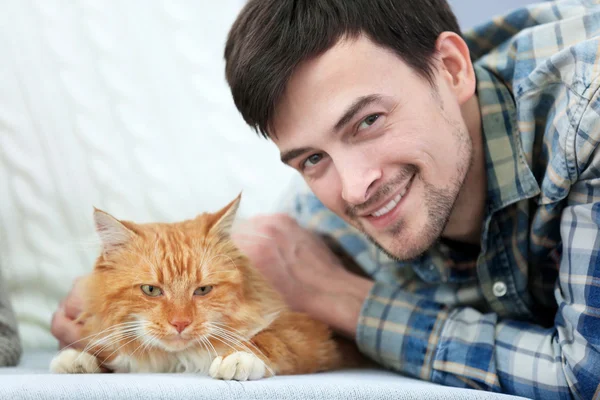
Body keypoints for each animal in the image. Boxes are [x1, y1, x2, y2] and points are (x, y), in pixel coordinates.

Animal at [49, 195, 358, 380]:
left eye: (202, 290)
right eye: (151, 290)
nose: (180, 323)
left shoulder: (309, 330)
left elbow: (268, 338)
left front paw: (238, 358)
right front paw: (79, 357)